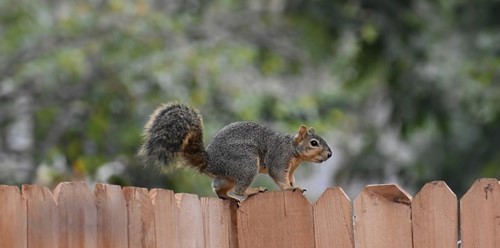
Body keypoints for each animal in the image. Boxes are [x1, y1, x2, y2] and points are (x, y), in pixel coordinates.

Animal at [138, 102, 332, 202]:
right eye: (314, 143)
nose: (330, 154)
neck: (293, 150)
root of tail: (210, 162)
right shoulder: (279, 158)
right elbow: (279, 177)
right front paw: (290, 188)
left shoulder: (290, 169)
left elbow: (291, 178)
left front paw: (295, 185)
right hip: (246, 164)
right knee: (239, 189)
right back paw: (252, 191)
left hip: (228, 175)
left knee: (218, 188)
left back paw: (228, 198)